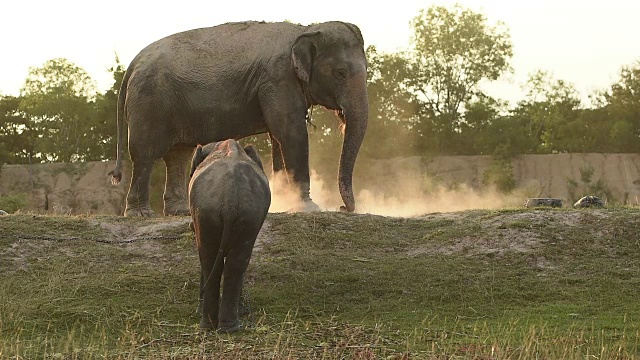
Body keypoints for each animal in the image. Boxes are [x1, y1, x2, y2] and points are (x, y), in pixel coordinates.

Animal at [109, 20, 368, 217]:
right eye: (340, 73)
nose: (343, 207)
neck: (304, 29)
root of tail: (134, 62)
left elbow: (278, 138)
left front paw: (286, 200)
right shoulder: (277, 80)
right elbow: (291, 133)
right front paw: (309, 208)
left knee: (178, 155)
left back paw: (179, 212)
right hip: (149, 101)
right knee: (145, 154)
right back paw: (140, 214)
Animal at [189, 139, 272, 332]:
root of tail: (229, 200)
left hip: (211, 213)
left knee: (214, 262)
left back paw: (216, 325)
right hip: (242, 214)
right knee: (232, 263)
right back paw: (223, 326)